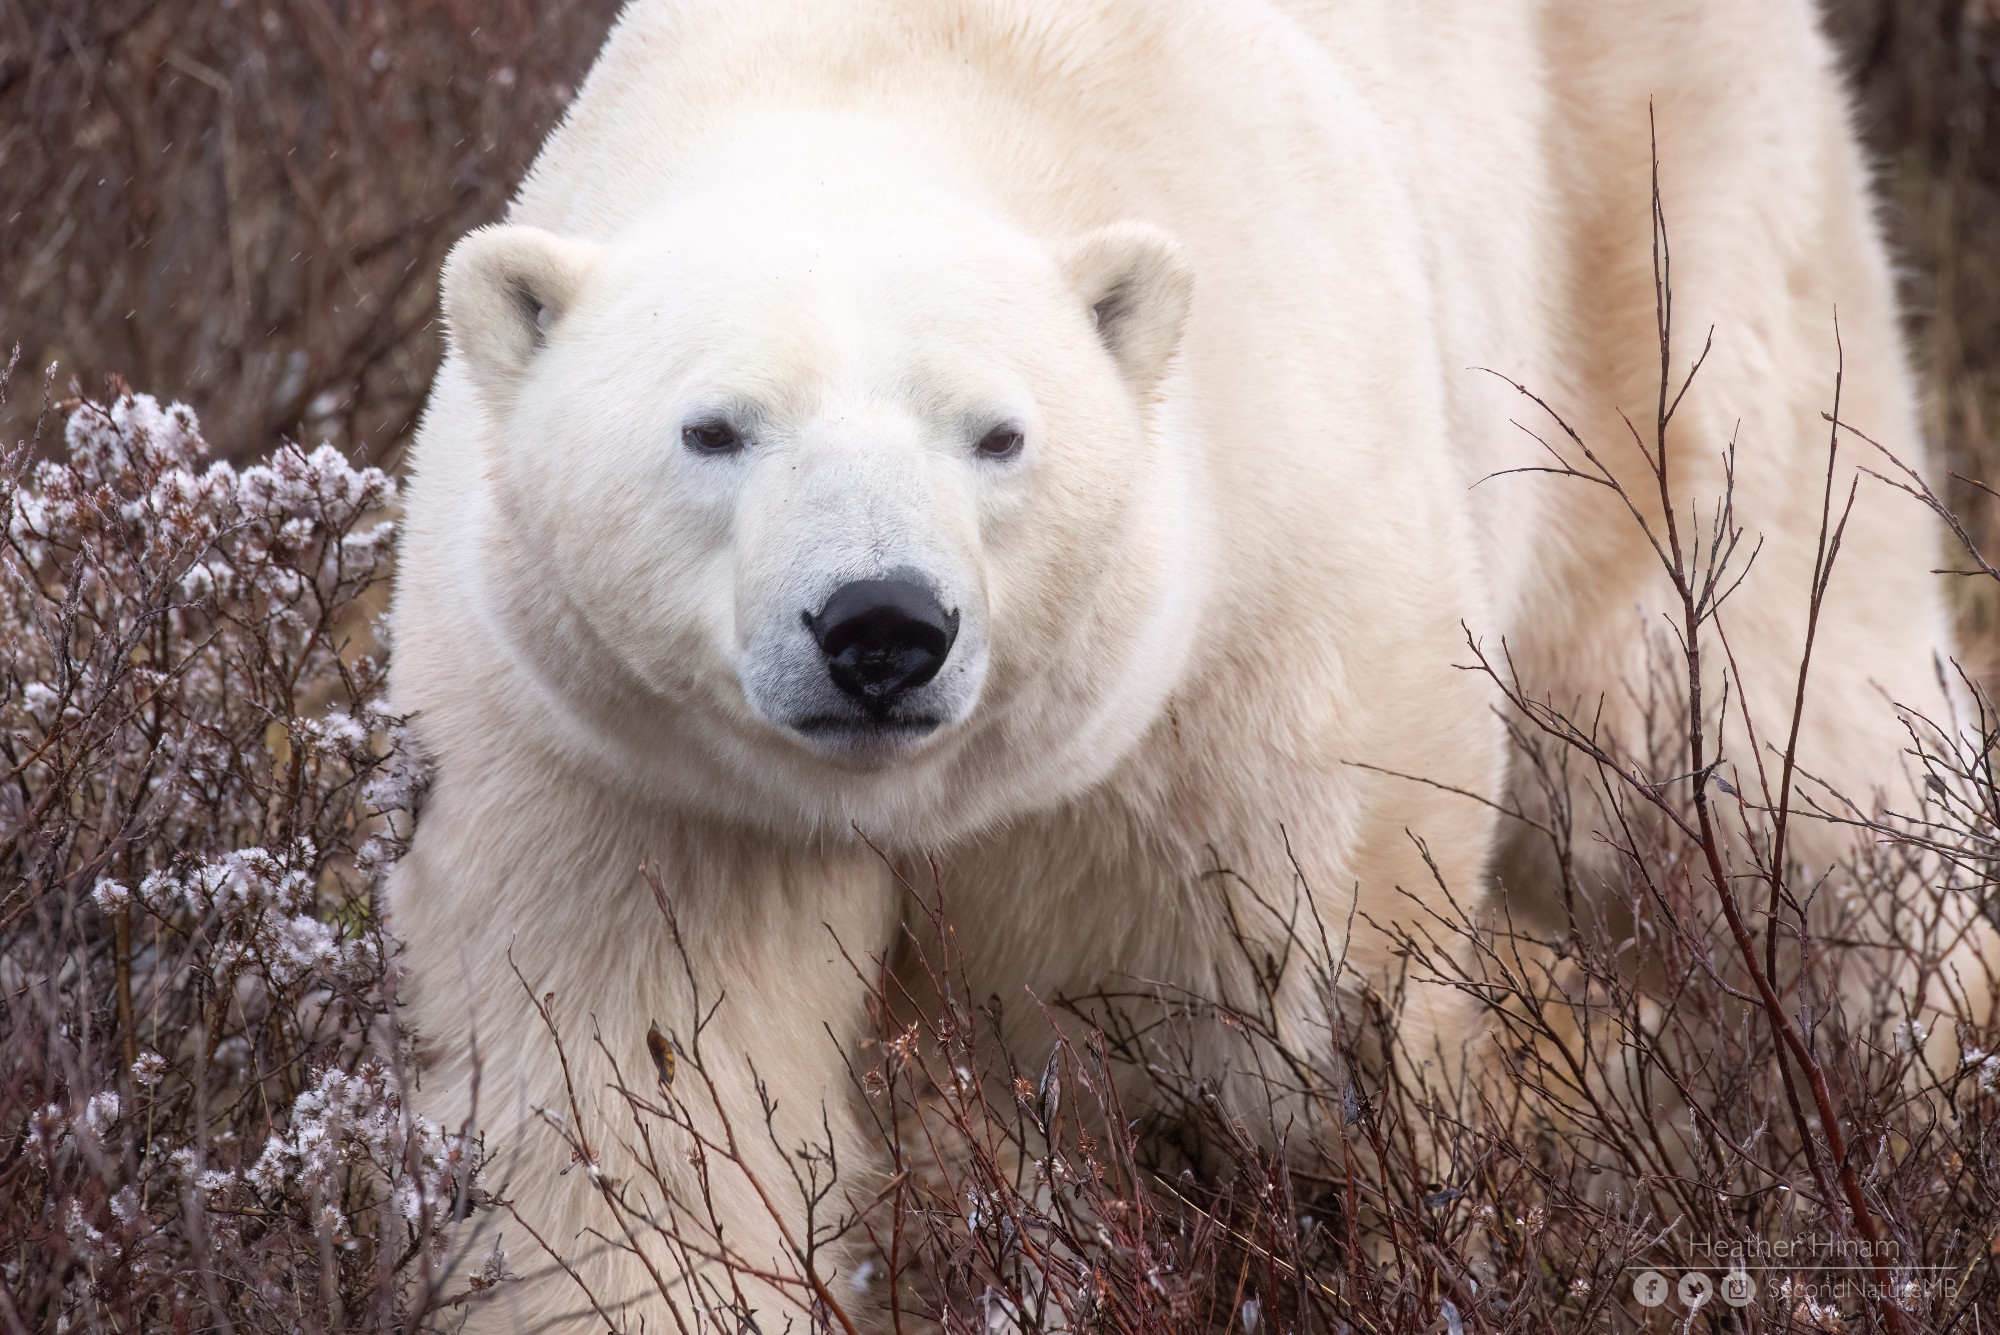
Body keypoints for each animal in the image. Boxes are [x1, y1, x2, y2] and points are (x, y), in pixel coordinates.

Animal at [386, 0, 1968, 1327]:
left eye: (996, 432)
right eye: (714, 429)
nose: (882, 624)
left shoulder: (1251, 650)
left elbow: (1280, 1040)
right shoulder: (622, 769)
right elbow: (631, 1112)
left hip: (1664, 254)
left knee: (1746, 750)